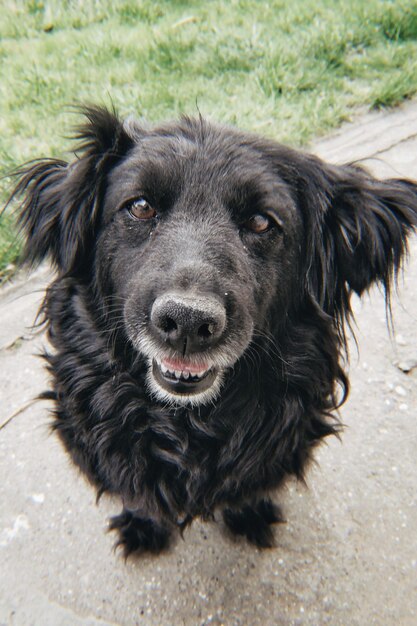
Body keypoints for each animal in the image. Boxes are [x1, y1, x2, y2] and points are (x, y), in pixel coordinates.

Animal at [8, 105, 416, 552]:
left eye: (261, 222)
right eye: (141, 206)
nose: (186, 321)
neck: (187, 423)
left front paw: (250, 514)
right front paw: (143, 524)